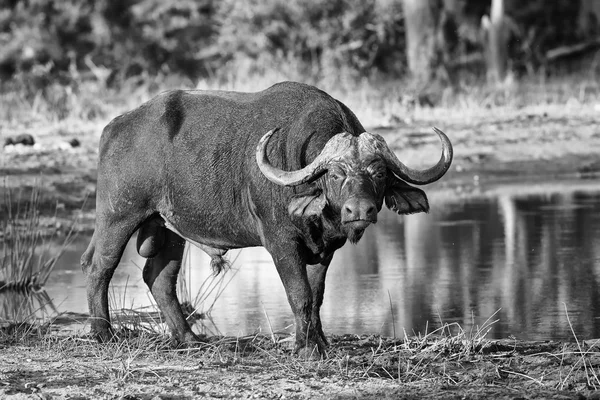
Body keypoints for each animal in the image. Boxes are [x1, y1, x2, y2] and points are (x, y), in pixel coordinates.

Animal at [82, 80, 452, 356]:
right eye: (335, 174)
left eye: (379, 173)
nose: (360, 210)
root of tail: (115, 127)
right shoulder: (280, 243)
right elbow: (299, 294)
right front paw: (306, 349)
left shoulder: (326, 249)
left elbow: (316, 297)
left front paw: (316, 342)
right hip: (118, 216)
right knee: (99, 267)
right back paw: (104, 334)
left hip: (170, 229)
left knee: (158, 277)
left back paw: (189, 339)